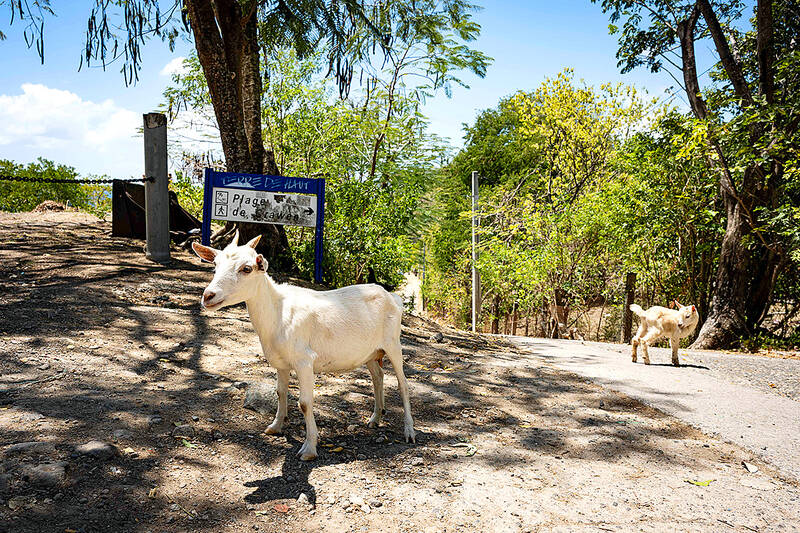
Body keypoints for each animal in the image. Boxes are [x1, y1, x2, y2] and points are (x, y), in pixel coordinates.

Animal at [192, 232, 415, 461]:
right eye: (215, 265)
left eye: (246, 268)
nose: (208, 296)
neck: (277, 313)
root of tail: (393, 297)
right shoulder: (281, 363)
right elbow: (280, 392)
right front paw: (275, 426)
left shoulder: (304, 361)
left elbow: (305, 403)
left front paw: (309, 449)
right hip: (370, 352)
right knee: (378, 377)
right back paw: (375, 418)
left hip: (393, 344)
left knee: (403, 384)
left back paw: (409, 432)